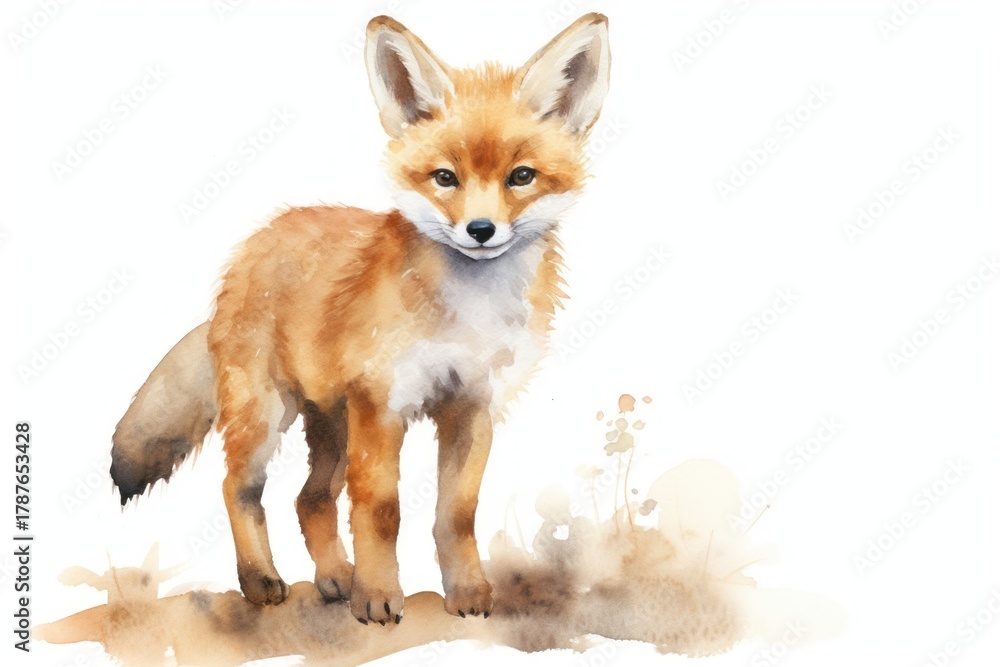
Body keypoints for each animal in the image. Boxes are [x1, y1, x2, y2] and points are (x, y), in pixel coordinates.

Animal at [110, 13, 610, 625]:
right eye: (445, 178)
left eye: (521, 176)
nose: (481, 231)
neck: (466, 314)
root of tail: (251, 247)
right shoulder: (384, 403)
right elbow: (381, 509)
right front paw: (376, 596)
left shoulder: (472, 406)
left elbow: (457, 513)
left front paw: (466, 591)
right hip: (273, 417)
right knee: (239, 489)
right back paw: (261, 580)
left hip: (333, 424)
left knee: (310, 499)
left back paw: (335, 579)